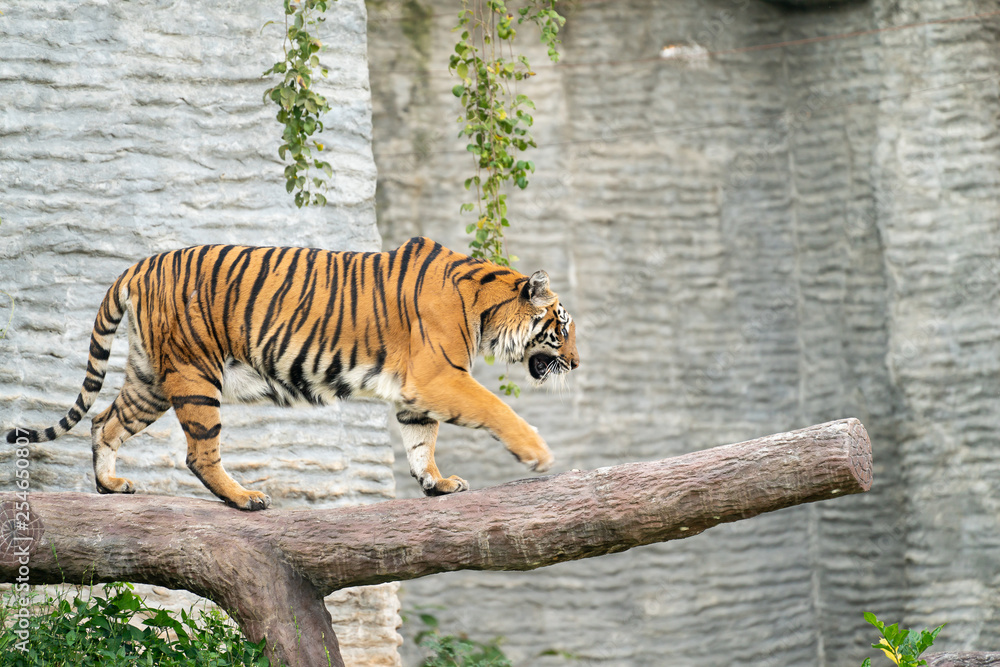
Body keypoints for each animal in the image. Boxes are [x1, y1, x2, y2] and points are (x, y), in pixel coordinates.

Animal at [3, 239, 580, 512]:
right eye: (561, 327)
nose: (577, 364)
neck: (485, 308)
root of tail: (139, 265)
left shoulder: (416, 392)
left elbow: (421, 440)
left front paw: (436, 483)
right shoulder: (439, 376)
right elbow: (496, 408)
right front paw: (537, 453)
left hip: (150, 379)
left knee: (103, 422)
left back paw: (111, 485)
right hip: (195, 376)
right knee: (198, 454)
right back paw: (244, 498)